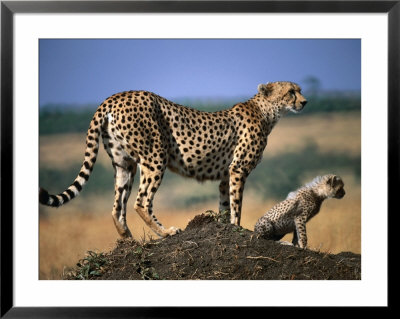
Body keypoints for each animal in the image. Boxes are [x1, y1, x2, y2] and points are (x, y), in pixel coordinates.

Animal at [39, 81, 306, 239]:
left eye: (300, 90)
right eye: (291, 91)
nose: (304, 102)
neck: (266, 111)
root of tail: (114, 96)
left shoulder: (225, 174)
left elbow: (225, 204)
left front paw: (225, 227)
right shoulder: (238, 169)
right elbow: (237, 205)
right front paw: (238, 228)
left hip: (124, 163)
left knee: (117, 206)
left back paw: (130, 243)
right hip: (155, 155)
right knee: (141, 201)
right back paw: (166, 232)